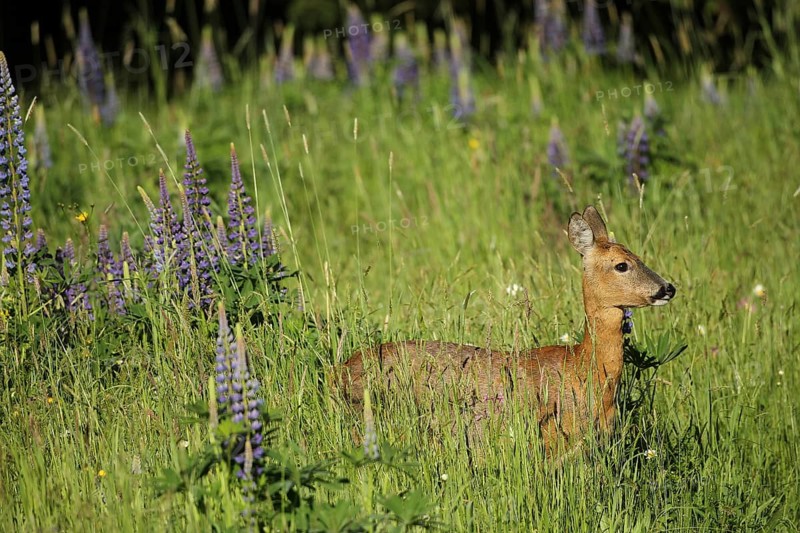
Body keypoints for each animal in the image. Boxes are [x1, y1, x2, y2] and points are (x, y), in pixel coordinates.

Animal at [339, 206, 676, 456]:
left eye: (638, 257)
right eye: (621, 265)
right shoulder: (554, 436)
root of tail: (338, 371)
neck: (585, 370)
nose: (667, 288)